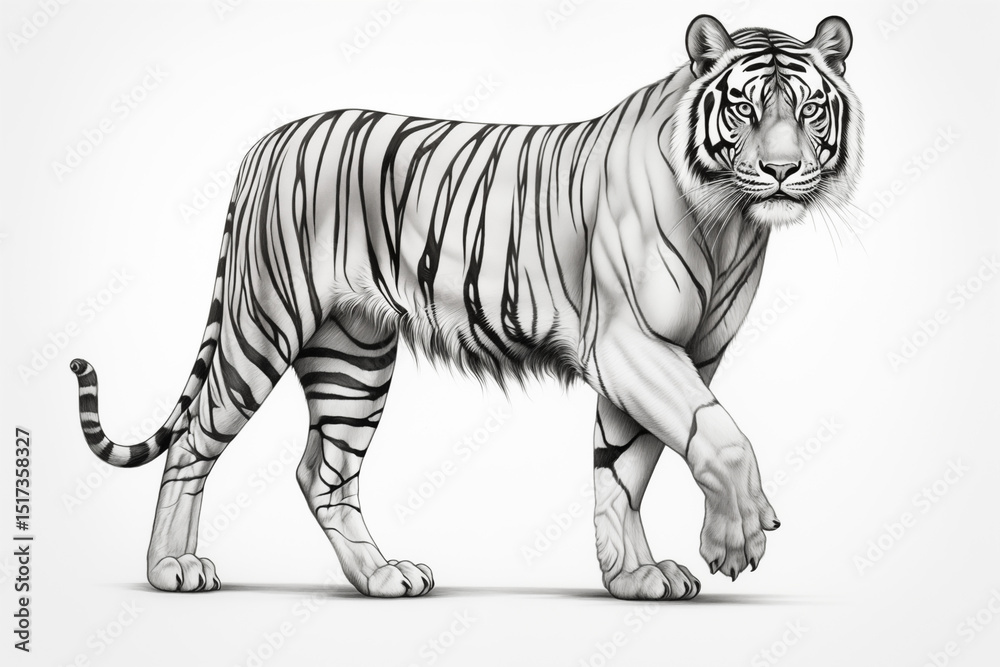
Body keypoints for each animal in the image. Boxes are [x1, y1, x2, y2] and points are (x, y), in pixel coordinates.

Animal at [71, 14, 861, 600]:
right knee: (194, 440)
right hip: (262, 326)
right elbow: (719, 436)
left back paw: (381, 575)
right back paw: (171, 569)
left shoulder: (685, 353)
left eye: (810, 109)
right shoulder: (630, 345)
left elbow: (625, 468)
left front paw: (634, 575)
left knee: (323, 472)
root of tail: (263, 143)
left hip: (354, 352)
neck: (730, 221)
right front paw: (735, 539)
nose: (783, 171)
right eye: (745, 107)